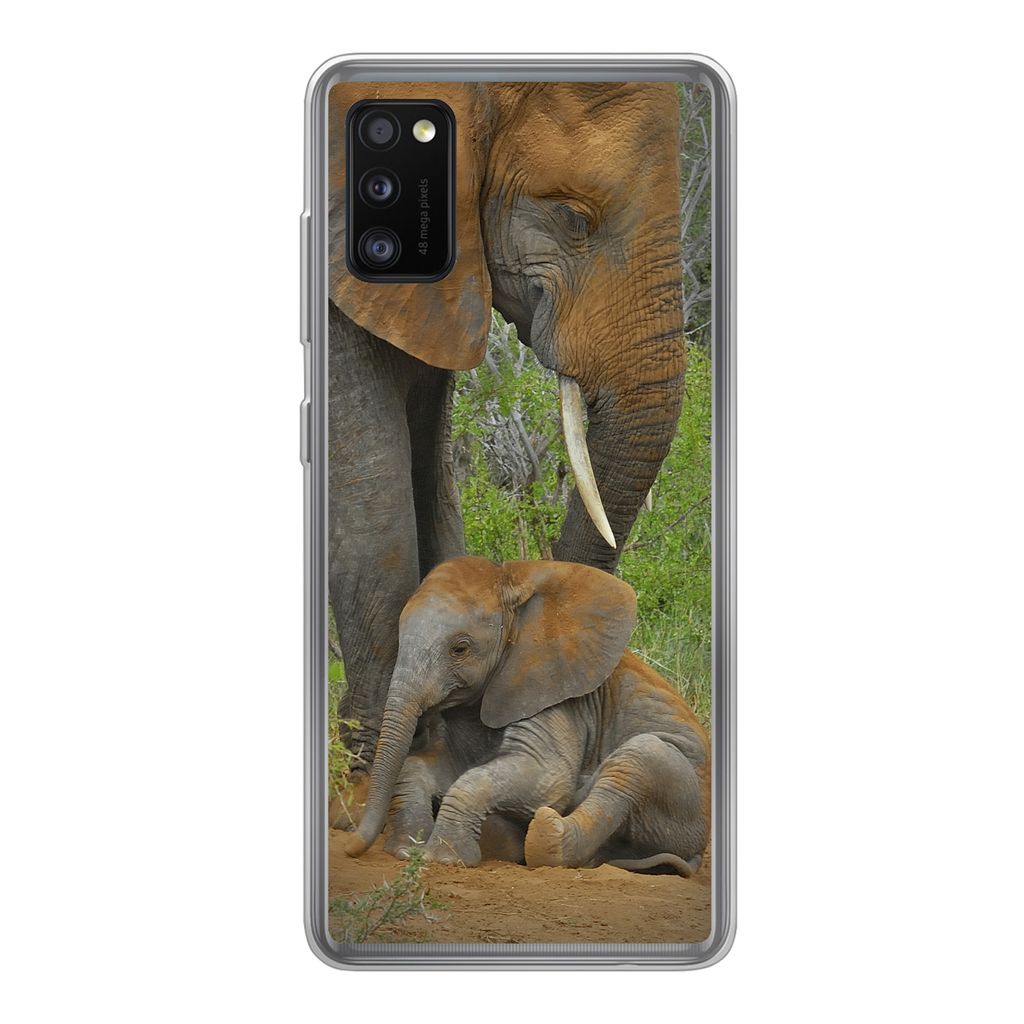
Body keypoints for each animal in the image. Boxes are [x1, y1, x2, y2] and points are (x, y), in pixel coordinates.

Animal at [342, 556, 710, 877]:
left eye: (460, 649)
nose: (351, 848)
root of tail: (697, 850)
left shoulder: (555, 694)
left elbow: (546, 777)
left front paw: (444, 859)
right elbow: (433, 766)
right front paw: (407, 850)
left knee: (635, 760)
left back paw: (546, 835)